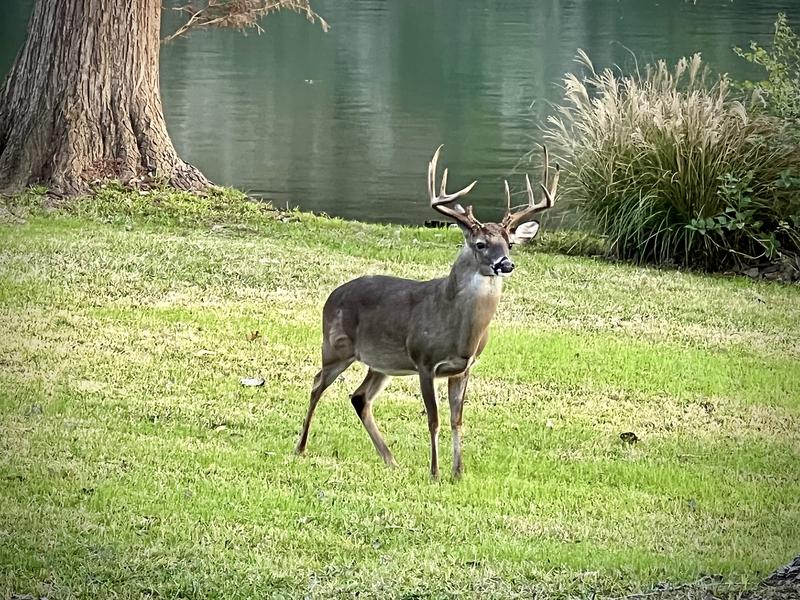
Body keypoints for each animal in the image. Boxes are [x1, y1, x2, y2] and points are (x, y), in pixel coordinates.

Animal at [295, 145, 559, 479]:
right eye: (480, 244)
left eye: (510, 243)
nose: (506, 264)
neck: (460, 332)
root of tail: (332, 296)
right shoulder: (424, 361)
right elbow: (433, 420)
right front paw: (435, 472)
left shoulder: (464, 368)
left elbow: (457, 420)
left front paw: (458, 473)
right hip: (335, 347)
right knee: (317, 384)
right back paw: (301, 447)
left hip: (381, 362)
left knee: (359, 397)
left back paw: (391, 460)